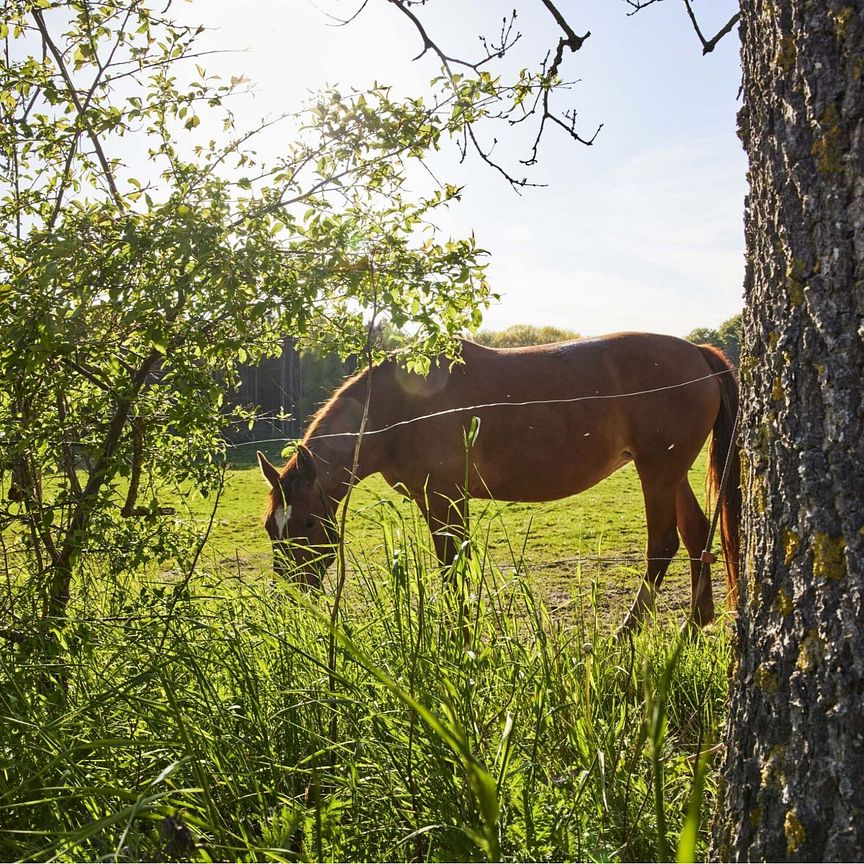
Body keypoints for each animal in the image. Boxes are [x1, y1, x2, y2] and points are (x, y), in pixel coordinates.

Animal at [256, 334, 744, 632]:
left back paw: (626, 633)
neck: (398, 408)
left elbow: (452, 568)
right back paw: (694, 624)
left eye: (306, 525)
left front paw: (459, 635)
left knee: (663, 545)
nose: (290, 596)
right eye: (269, 529)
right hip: (670, 471)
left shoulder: (445, 498)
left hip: (658, 471)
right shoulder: (437, 499)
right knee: (697, 534)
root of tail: (697, 352)